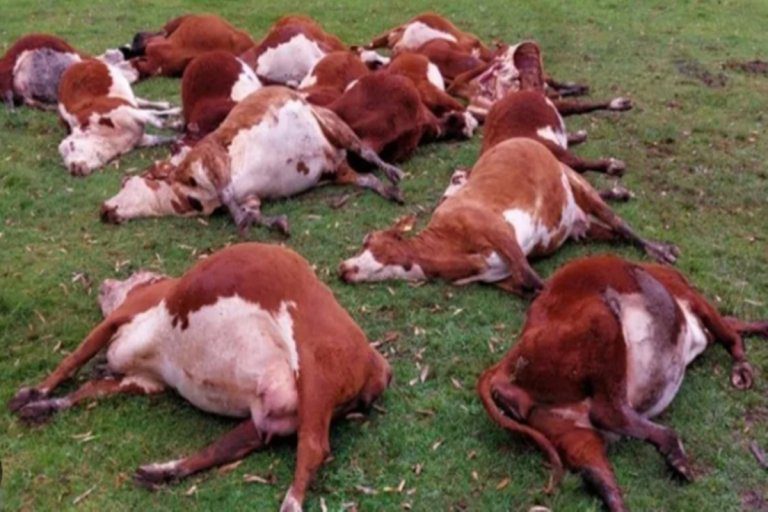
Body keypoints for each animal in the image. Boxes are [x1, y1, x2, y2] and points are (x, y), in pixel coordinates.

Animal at [8, 242, 392, 512]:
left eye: (132, 276)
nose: (104, 282)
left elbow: (72, 359)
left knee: (313, 447)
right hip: (273, 415)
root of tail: (378, 362)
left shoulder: (124, 313)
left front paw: (35, 391)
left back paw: (290, 502)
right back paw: (164, 471)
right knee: (228, 447)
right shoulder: (146, 381)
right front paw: (46, 405)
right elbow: (91, 388)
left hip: (316, 374)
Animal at [100, 87, 404, 233]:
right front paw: (273, 222)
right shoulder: (250, 197)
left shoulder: (207, 156)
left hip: (333, 124)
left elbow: (226, 193)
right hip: (337, 171)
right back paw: (389, 190)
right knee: (366, 178)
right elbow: (252, 211)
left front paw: (244, 220)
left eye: (125, 182)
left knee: (365, 151)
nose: (104, 209)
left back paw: (392, 173)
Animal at [339, 138, 678, 294]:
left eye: (369, 239)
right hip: (578, 227)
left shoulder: (499, 232)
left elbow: (536, 280)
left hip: (576, 184)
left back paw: (661, 249)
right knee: (614, 232)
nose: (343, 267)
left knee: (621, 223)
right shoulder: (500, 276)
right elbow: (529, 284)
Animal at [477, 254, 768, 512]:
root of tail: (502, 366)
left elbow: (735, 324)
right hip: (602, 319)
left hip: (570, 432)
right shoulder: (694, 299)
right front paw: (743, 368)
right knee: (607, 412)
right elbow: (729, 332)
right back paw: (675, 453)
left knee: (598, 475)